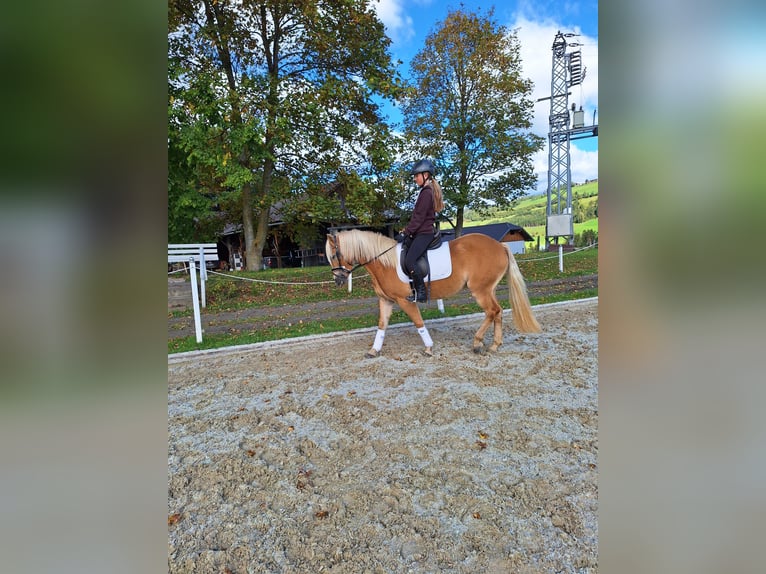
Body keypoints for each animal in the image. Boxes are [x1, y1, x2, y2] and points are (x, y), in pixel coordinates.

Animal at [328, 231, 544, 360]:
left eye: (332, 255)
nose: (338, 279)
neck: (384, 262)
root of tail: (500, 246)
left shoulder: (404, 301)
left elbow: (418, 322)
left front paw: (429, 348)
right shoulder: (386, 300)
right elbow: (382, 325)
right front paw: (374, 350)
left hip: (480, 290)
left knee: (492, 311)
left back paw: (477, 343)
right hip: (488, 289)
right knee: (497, 312)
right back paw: (494, 346)